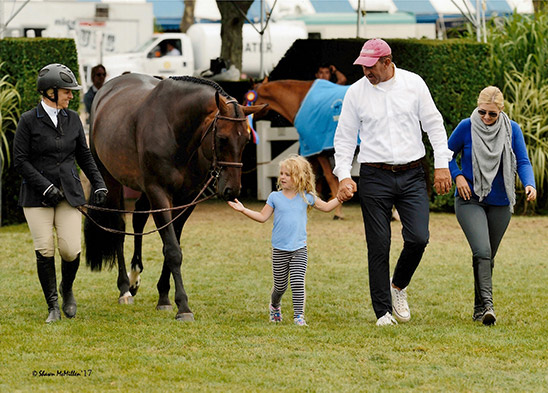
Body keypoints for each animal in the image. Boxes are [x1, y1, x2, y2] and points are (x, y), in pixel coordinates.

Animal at [83, 72, 268, 318]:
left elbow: (172, 244)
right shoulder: (159, 193)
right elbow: (172, 250)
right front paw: (183, 306)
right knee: (118, 228)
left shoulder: (186, 199)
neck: (177, 133)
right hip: (110, 179)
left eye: (246, 140)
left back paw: (134, 276)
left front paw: (164, 296)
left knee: (138, 218)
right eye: (222, 139)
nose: (232, 190)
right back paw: (124, 288)